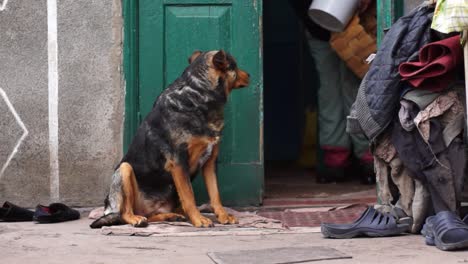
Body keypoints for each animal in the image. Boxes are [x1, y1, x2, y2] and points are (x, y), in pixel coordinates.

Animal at [92, 50, 252, 228]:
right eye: (234, 66)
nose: (250, 75)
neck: (198, 94)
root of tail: (108, 207)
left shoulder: (209, 162)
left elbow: (215, 194)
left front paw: (223, 216)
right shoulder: (179, 162)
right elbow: (189, 196)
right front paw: (199, 219)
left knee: (151, 215)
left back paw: (170, 216)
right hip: (125, 169)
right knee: (125, 212)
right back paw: (136, 219)